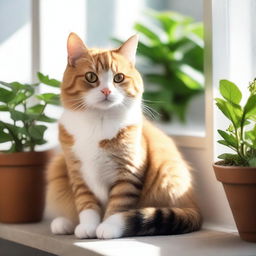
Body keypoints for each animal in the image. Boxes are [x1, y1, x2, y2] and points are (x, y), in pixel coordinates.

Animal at [46, 33, 202, 239]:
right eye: (91, 77)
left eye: (118, 78)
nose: (106, 91)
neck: (98, 122)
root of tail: (194, 206)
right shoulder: (76, 173)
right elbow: (86, 204)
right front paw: (88, 227)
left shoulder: (128, 172)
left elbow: (118, 205)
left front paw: (108, 227)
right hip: (58, 168)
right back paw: (64, 223)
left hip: (168, 173)